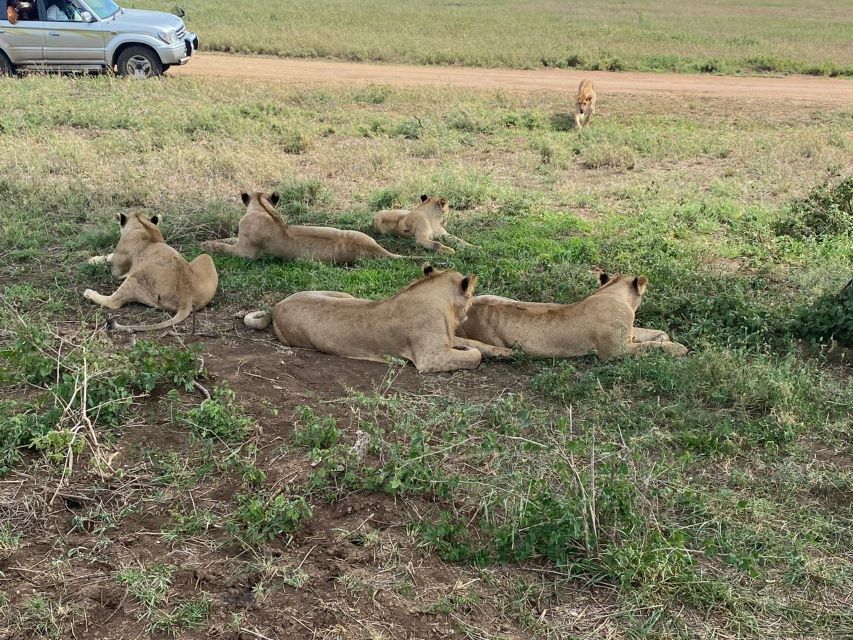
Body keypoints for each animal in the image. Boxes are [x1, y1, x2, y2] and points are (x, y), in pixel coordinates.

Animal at [83, 212, 218, 332]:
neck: (143, 225)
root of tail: (187, 297)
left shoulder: (118, 269)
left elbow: (110, 260)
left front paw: (92, 260)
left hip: (136, 276)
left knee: (113, 302)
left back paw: (89, 293)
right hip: (206, 257)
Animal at [201, 194, 402, 266]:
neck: (263, 208)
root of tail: (377, 249)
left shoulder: (247, 252)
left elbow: (227, 248)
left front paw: (207, 245)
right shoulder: (241, 240)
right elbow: (228, 240)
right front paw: (213, 241)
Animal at [243, 264, 510, 376]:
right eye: (472, 296)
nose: (471, 308)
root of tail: (276, 306)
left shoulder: (446, 341)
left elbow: (477, 344)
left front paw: (505, 352)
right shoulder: (431, 358)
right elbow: (473, 356)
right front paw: (470, 351)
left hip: (344, 295)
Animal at [456, 272, 688, 360]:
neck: (611, 292)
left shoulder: (628, 334)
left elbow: (650, 333)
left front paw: (663, 338)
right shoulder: (614, 351)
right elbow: (647, 346)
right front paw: (677, 347)